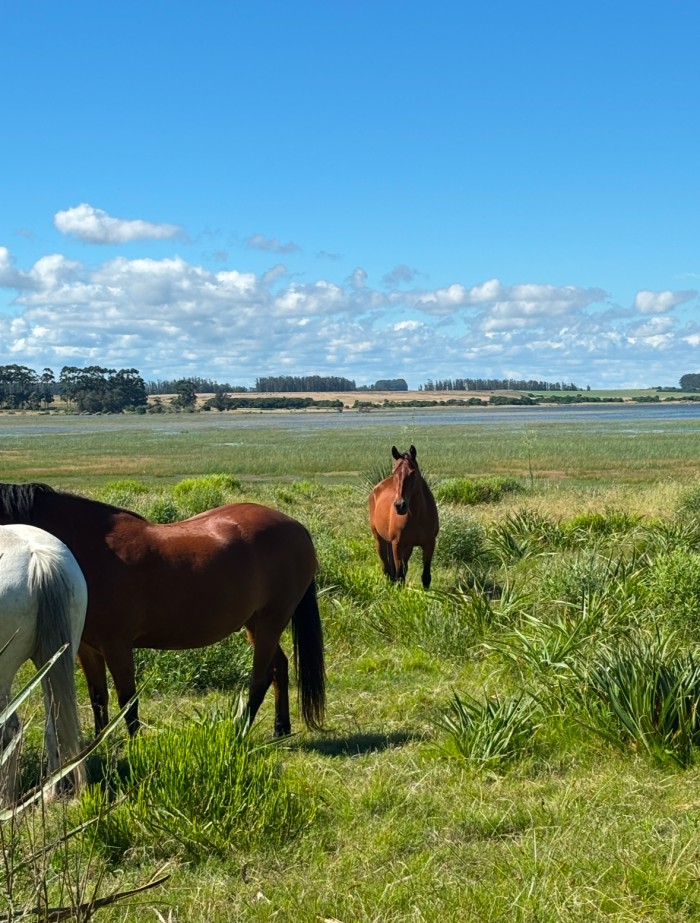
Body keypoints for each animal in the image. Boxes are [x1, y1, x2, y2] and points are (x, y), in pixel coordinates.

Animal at [0, 484, 326, 736]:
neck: (91, 551)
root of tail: (297, 527)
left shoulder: (117, 646)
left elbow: (127, 700)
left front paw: (135, 747)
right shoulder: (86, 648)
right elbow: (98, 698)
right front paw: (101, 743)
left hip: (271, 620)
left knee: (260, 677)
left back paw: (240, 732)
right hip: (255, 624)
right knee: (279, 667)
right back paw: (280, 728)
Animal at [0, 524, 87, 804]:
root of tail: (38, 558)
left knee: (9, 731)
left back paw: (6, 800)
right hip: (53, 662)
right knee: (54, 725)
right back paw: (49, 794)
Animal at [366, 446, 438, 588]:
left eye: (413, 473)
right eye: (394, 473)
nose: (400, 505)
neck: (417, 516)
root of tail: (376, 488)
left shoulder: (429, 544)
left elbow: (426, 577)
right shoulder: (397, 545)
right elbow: (399, 576)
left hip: (408, 547)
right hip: (380, 540)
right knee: (387, 569)